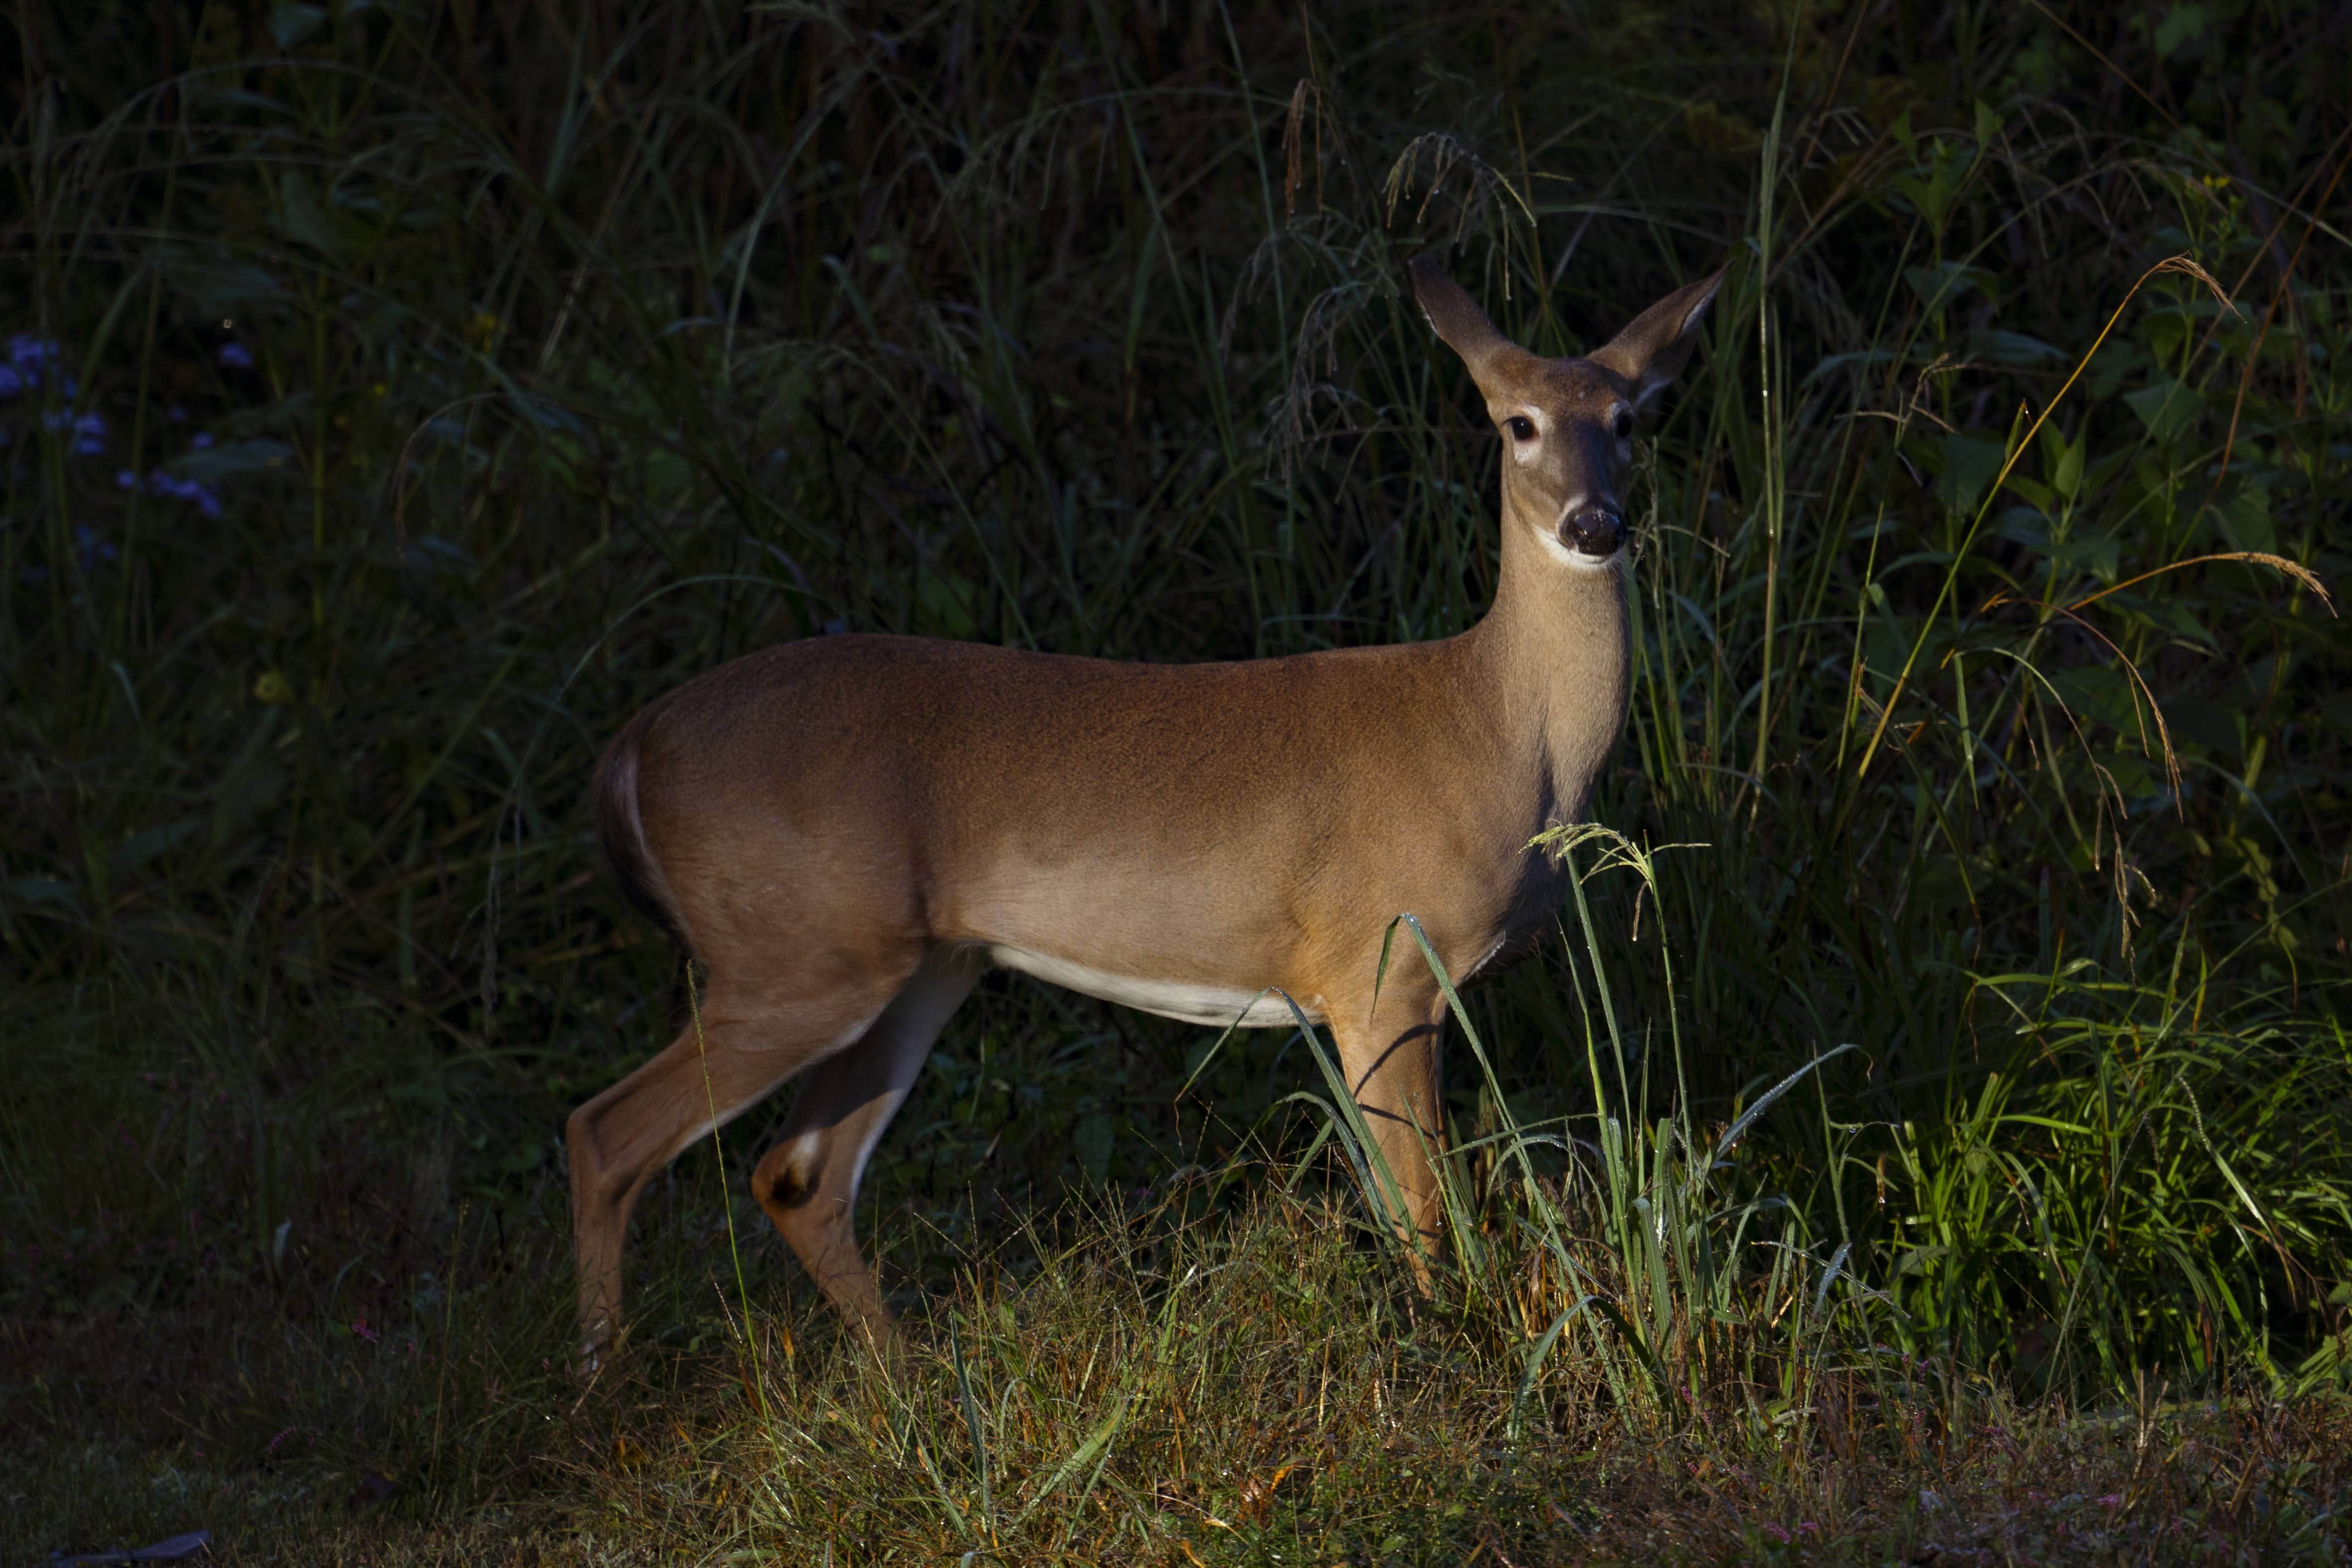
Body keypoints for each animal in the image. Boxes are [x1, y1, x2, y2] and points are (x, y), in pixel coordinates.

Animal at [567, 254, 1722, 1359]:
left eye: (1628, 418)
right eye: (1517, 422)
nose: (1594, 522)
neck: (1497, 731)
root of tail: (628, 748)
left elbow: (1412, 1200)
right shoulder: (1382, 964)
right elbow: (1426, 1209)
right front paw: (1456, 1348)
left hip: (913, 966)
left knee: (796, 1172)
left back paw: (909, 1377)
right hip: (791, 950)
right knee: (607, 1131)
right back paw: (604, 1391)